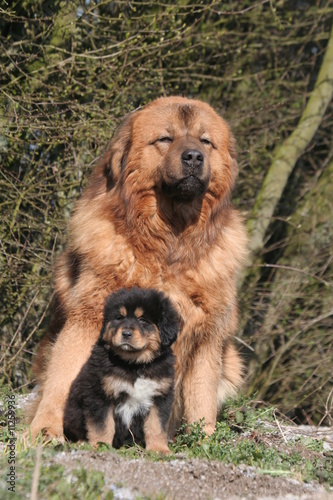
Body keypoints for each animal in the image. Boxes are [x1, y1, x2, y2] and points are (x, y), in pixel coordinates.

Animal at [63, 286, 180, 454]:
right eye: (119, 318)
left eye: (142, 320)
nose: (126, 333)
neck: (134, 365)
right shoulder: (99, 395)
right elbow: (102, 426)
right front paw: (101, 447)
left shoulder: (160, 396)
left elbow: (156, 426)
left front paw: (159, 449)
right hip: (73, 412)